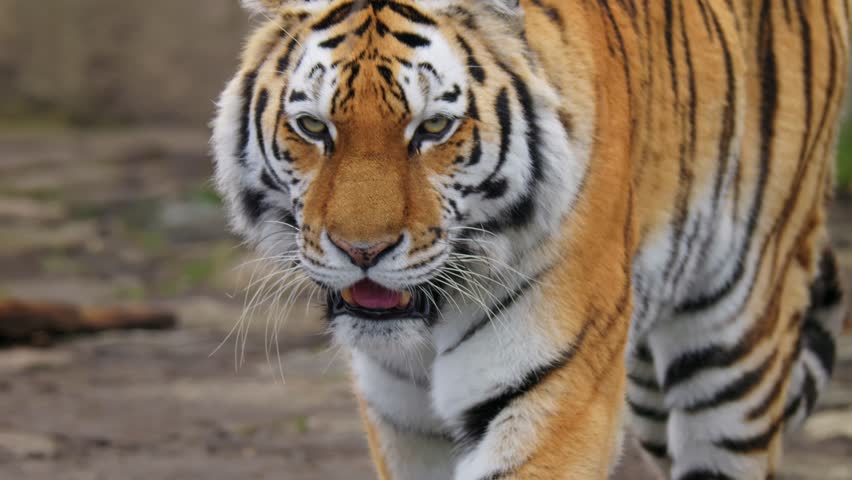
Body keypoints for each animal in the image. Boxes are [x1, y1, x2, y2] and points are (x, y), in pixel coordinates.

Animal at [211, 0, 844, 478]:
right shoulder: (400, 419)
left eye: (433, 127)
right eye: (312, 127)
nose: (362, 252)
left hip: (734, 351)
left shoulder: (553, 391)